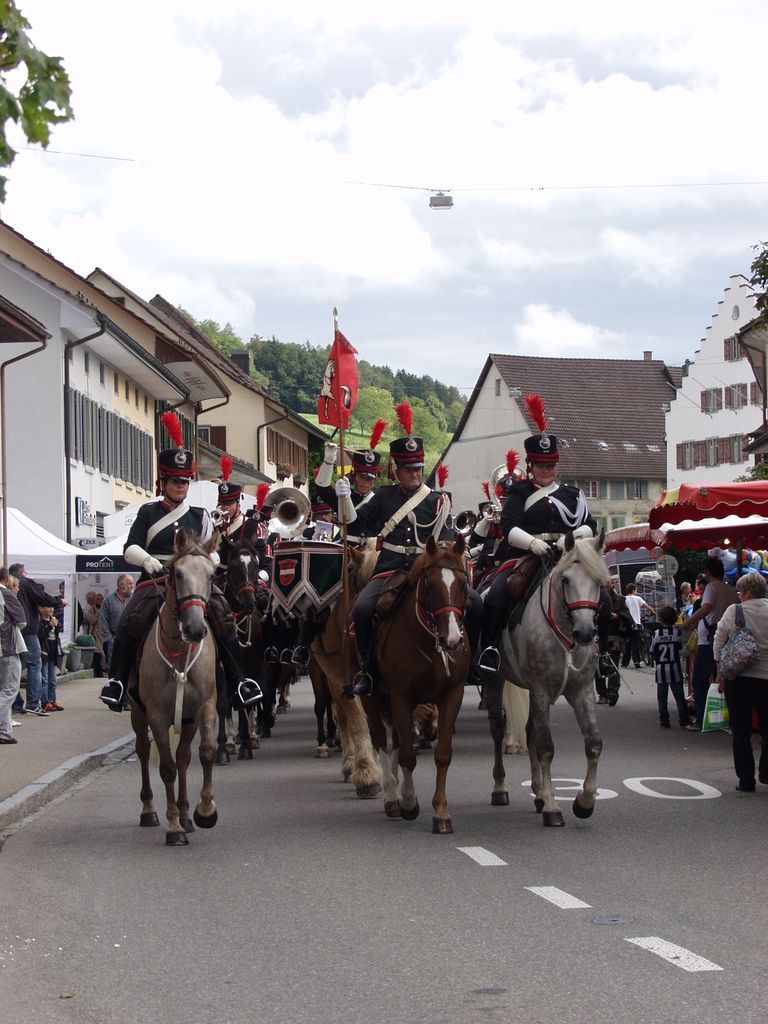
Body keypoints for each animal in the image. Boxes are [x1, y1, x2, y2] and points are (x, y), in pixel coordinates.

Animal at [130, 528, 219, 847]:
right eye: (176, 573)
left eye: (212, 574)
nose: (194, 629)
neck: (179, 653)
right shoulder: (155, 714)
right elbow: (166, 767)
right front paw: (174, 827)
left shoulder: (205, 707)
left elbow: (205, 752)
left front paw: (204, 812)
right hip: (136, 711)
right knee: (144, 750)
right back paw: (149, 811)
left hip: (188, 720)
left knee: (183, 757)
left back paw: (187, 815)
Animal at [364, 532, 473, 835]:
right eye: (431, 585)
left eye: (463, 584)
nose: (453, 640)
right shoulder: (402, 696)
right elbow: (407, 756)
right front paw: (409, 803)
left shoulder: (451, 696)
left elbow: (442, 754)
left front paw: (441, 813)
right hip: (371, 696)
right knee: (380, 740)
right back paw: (392, 797)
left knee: (397, 740)